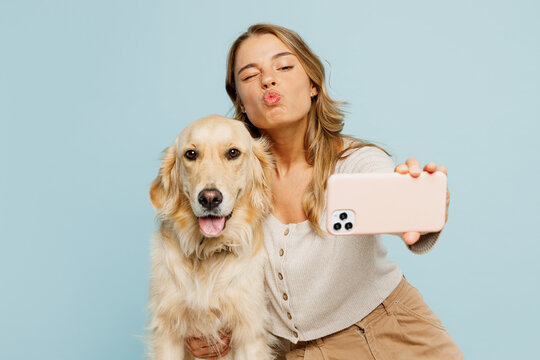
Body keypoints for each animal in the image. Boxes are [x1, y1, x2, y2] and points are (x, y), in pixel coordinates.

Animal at [147, 114, 274, 358]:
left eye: (233, 153)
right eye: (191, 154)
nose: (209, 198)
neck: (207, 252)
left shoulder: (249, 330)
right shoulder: (167, 328)